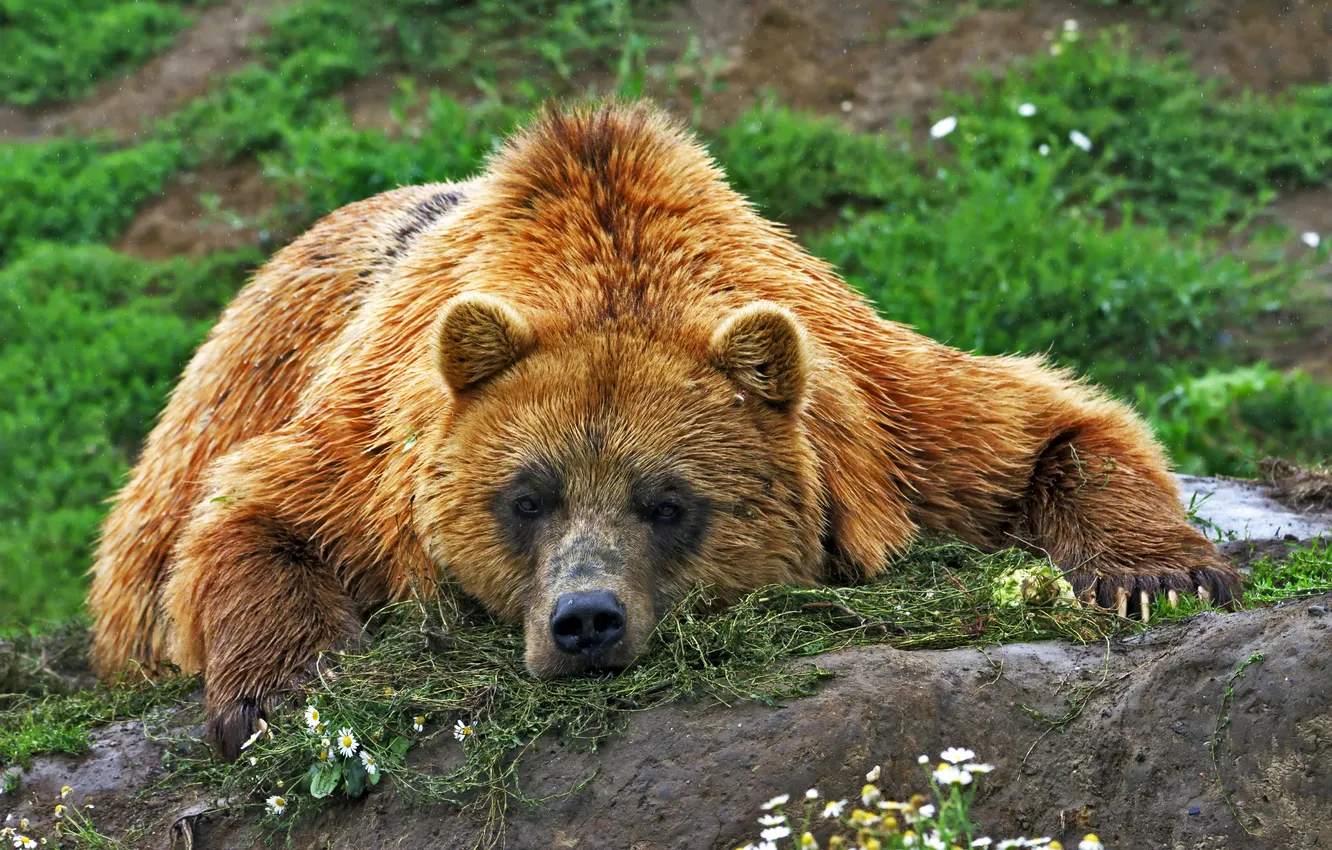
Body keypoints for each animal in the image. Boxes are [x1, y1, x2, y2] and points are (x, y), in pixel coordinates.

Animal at [89, 101, 1240, 759]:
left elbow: (1048, 429)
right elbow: (252, 516)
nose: (585, 620)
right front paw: (286, 689)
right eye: (526, 497)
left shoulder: (881, 416)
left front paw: (1162, 574)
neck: (604, 251)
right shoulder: (375, 447)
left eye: (670, 502)